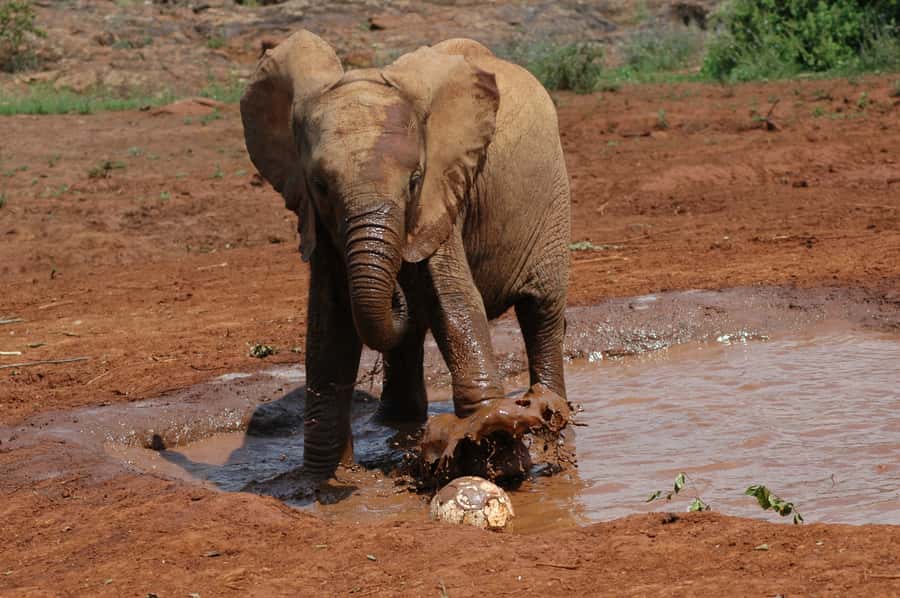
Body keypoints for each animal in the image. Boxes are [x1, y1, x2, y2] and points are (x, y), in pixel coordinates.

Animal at [240, 30, 571, 481]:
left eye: (414, 180)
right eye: (320, 185)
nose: (397, 285)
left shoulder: (443, 190)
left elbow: (452, 299)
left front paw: (496, 445)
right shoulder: (320, 222)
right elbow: (329, 324)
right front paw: (320, 479)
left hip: (552, 195)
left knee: (542, 309)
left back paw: (551, 411)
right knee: (409, 333)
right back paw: (395, 424)